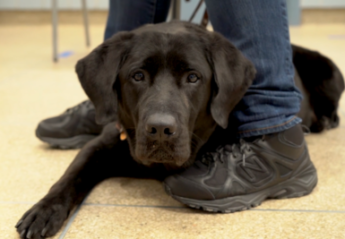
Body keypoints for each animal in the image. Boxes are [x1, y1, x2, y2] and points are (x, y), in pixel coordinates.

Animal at [14, 21, 342, 238]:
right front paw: (44, 210)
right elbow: (69, 177)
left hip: (330, 72)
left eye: (193, 77)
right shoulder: (102, 145)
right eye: (138, 76)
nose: (160, 129)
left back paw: (324, 121)